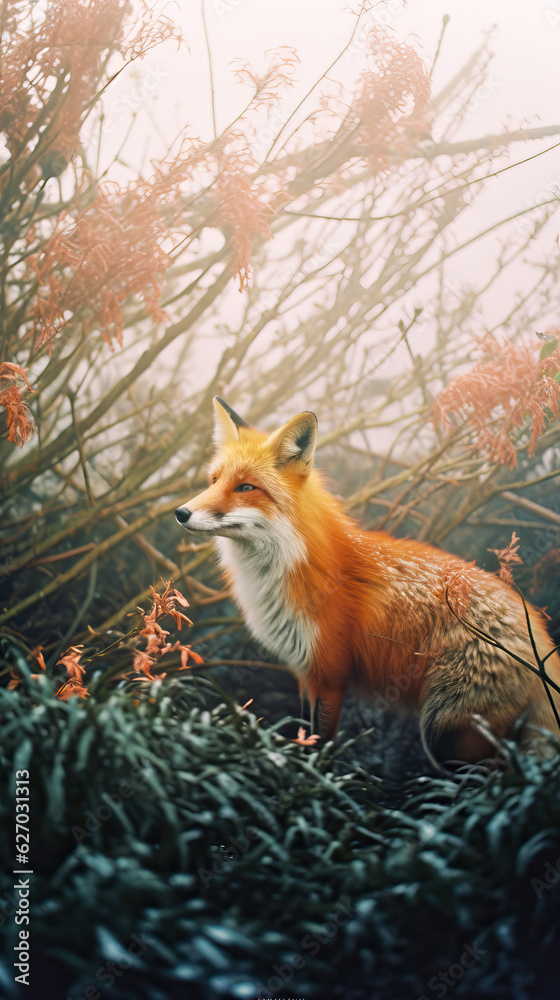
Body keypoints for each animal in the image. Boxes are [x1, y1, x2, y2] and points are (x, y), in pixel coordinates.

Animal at [175, 396, 560, 765]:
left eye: (245, 487)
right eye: (214, 481)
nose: (180, 512)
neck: (292, 561)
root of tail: (540, 633)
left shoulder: (329, 674)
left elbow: (320, 746)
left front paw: (311, 782)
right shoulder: (304, 672)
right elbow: (304, 734)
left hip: (445, 733)